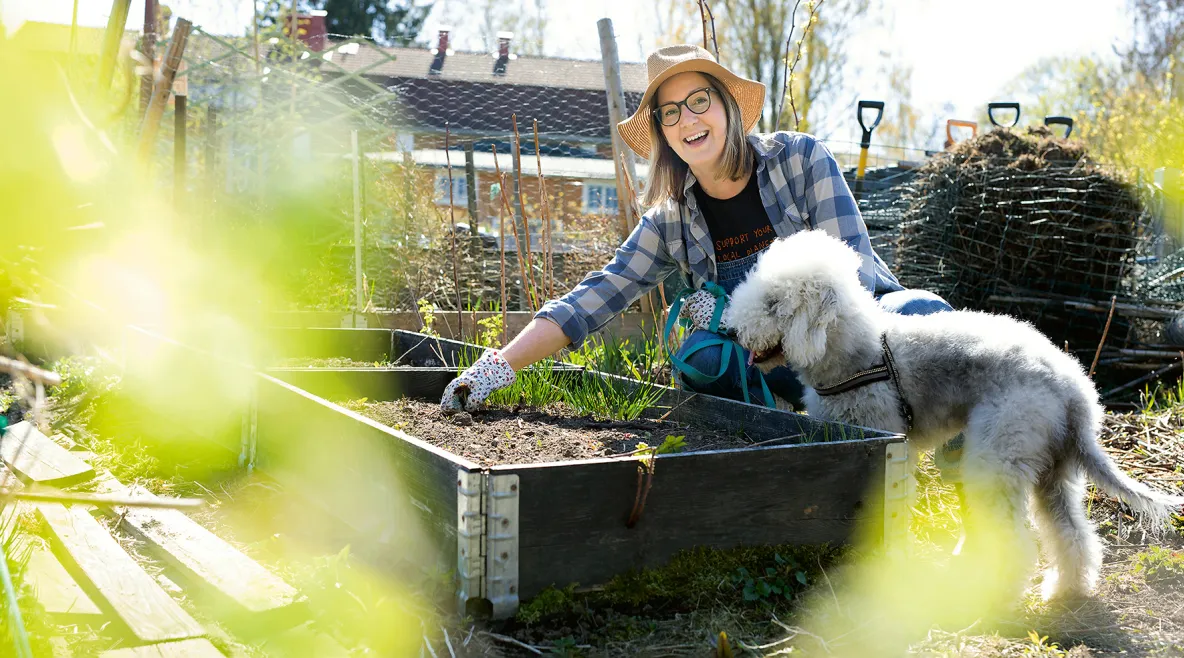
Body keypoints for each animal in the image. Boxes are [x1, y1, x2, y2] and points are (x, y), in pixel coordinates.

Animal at [724, 230, 1179, 601]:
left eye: (773, 303)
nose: (731, 332)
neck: (860, 354)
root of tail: (1075, 392)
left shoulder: (887, 445)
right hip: (1052, 471)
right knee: (1072, 535)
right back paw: (1066, 589)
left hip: (997, 461)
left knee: (1017, 543)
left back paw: (997, 594)